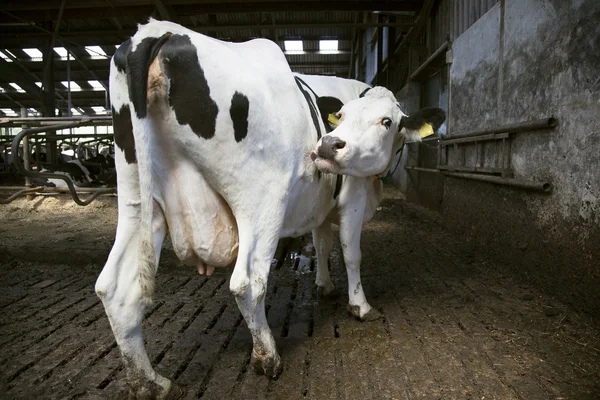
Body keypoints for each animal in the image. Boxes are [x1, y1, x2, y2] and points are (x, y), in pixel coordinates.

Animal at [96, 19, 442, 400]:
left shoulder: (321, 203)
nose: (328, 144)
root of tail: (159, 31)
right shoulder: (353, 194)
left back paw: (151, 383)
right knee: (247, 283)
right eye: (342, 116)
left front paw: (324, 285)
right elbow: (351, 253)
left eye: (386, 121)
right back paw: (268, 357)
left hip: (137, 197)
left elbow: (322, 243)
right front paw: (361, 306)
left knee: (115, 288)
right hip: (262, 202)